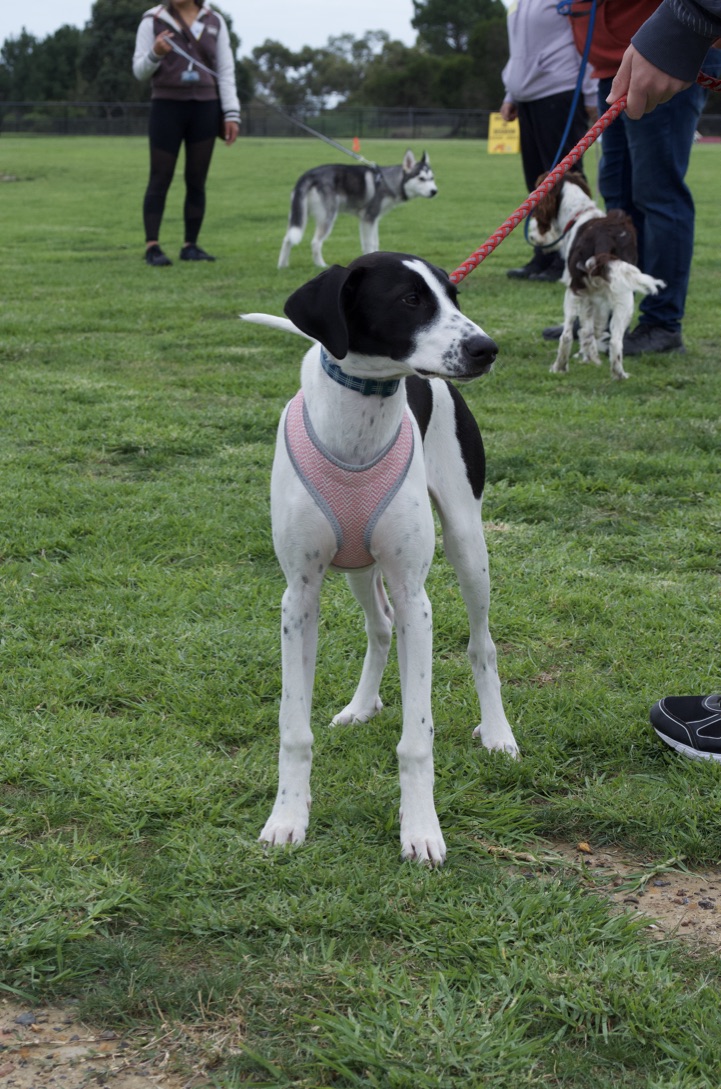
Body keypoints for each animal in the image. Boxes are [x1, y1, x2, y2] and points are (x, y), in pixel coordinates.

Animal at [246, 250, 516, 862]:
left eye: (454, 296)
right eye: (410, 300)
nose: (486, 348)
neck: (359, 420)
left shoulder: (418, 597)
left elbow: (417, 739)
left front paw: (421, 831)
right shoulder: (299, 597)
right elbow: (293, 729)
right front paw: (287, 818)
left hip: (468, 545)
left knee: (481, 644)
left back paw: (498, 734)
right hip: (357, 569)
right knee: (380, 626)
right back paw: (361, 705)